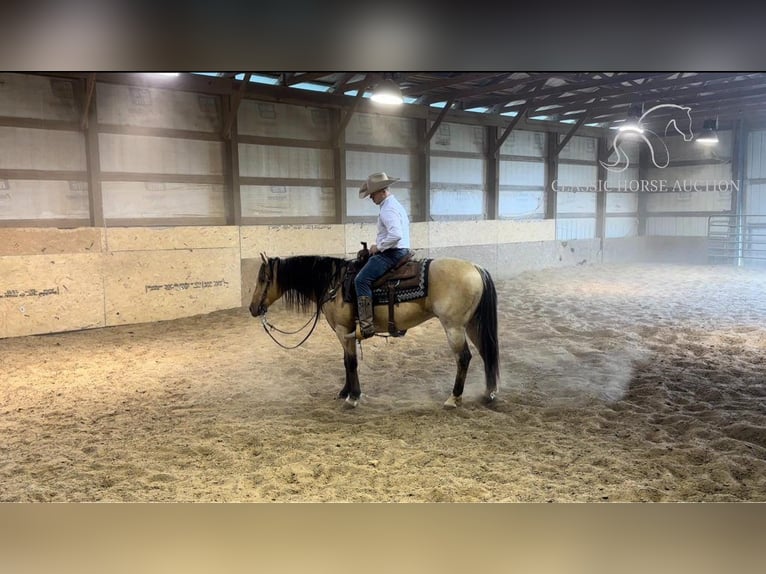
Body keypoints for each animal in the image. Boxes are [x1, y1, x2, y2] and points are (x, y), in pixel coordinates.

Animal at [249, 252, 500, 410]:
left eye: (262, 279)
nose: (252, 308)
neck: (334, 284)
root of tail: (475, 268)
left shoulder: (343, 329)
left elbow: (351, 362)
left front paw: (353, 397)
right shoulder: (346, 332)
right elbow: (345, 361)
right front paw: (345, 391)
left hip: (453, 327)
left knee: (464, 358)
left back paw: (453, 398)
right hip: (472, 324)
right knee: (486, 353)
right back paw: (489, 393)